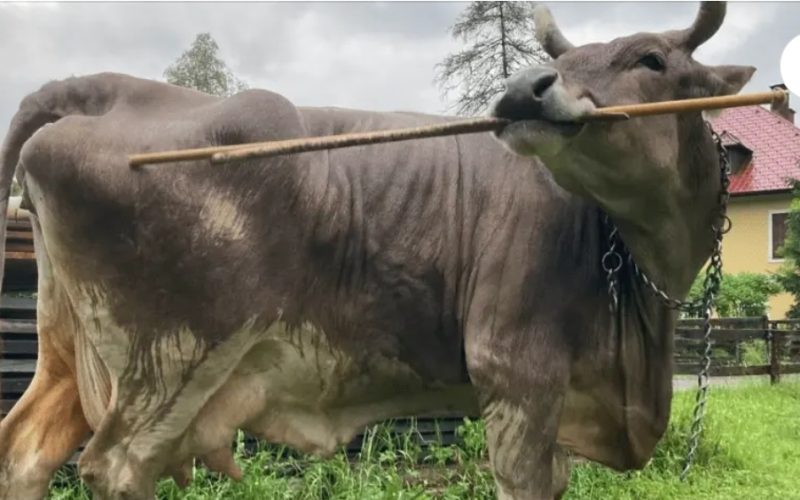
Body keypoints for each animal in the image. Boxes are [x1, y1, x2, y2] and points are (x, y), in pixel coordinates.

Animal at [0, 2, 753, 499]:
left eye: (652, 59)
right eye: (561, 63)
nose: (523, 91)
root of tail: (112, 88)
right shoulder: (518, 375)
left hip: (70, 351)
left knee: (26, 453)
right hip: (172, 362)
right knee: (114, 468)